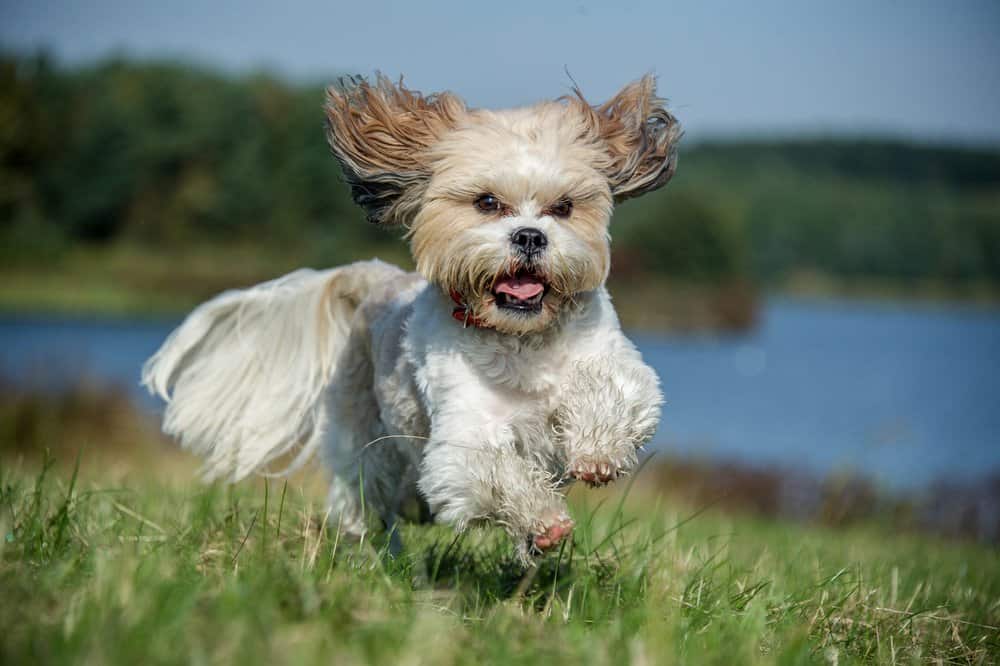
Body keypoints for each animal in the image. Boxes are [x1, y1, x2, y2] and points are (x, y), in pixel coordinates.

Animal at [143, 74, 680, 560]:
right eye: (487, 202)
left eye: (564, 207)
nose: (530, 235)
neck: (518, 336)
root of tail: (374, 278)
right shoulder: (464, 432)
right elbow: (491, 470)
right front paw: (543, 521)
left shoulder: (611, 362)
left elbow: (609, 389)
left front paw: (597, 452)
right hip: (368, 444)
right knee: (367, 498)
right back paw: (374, 554)